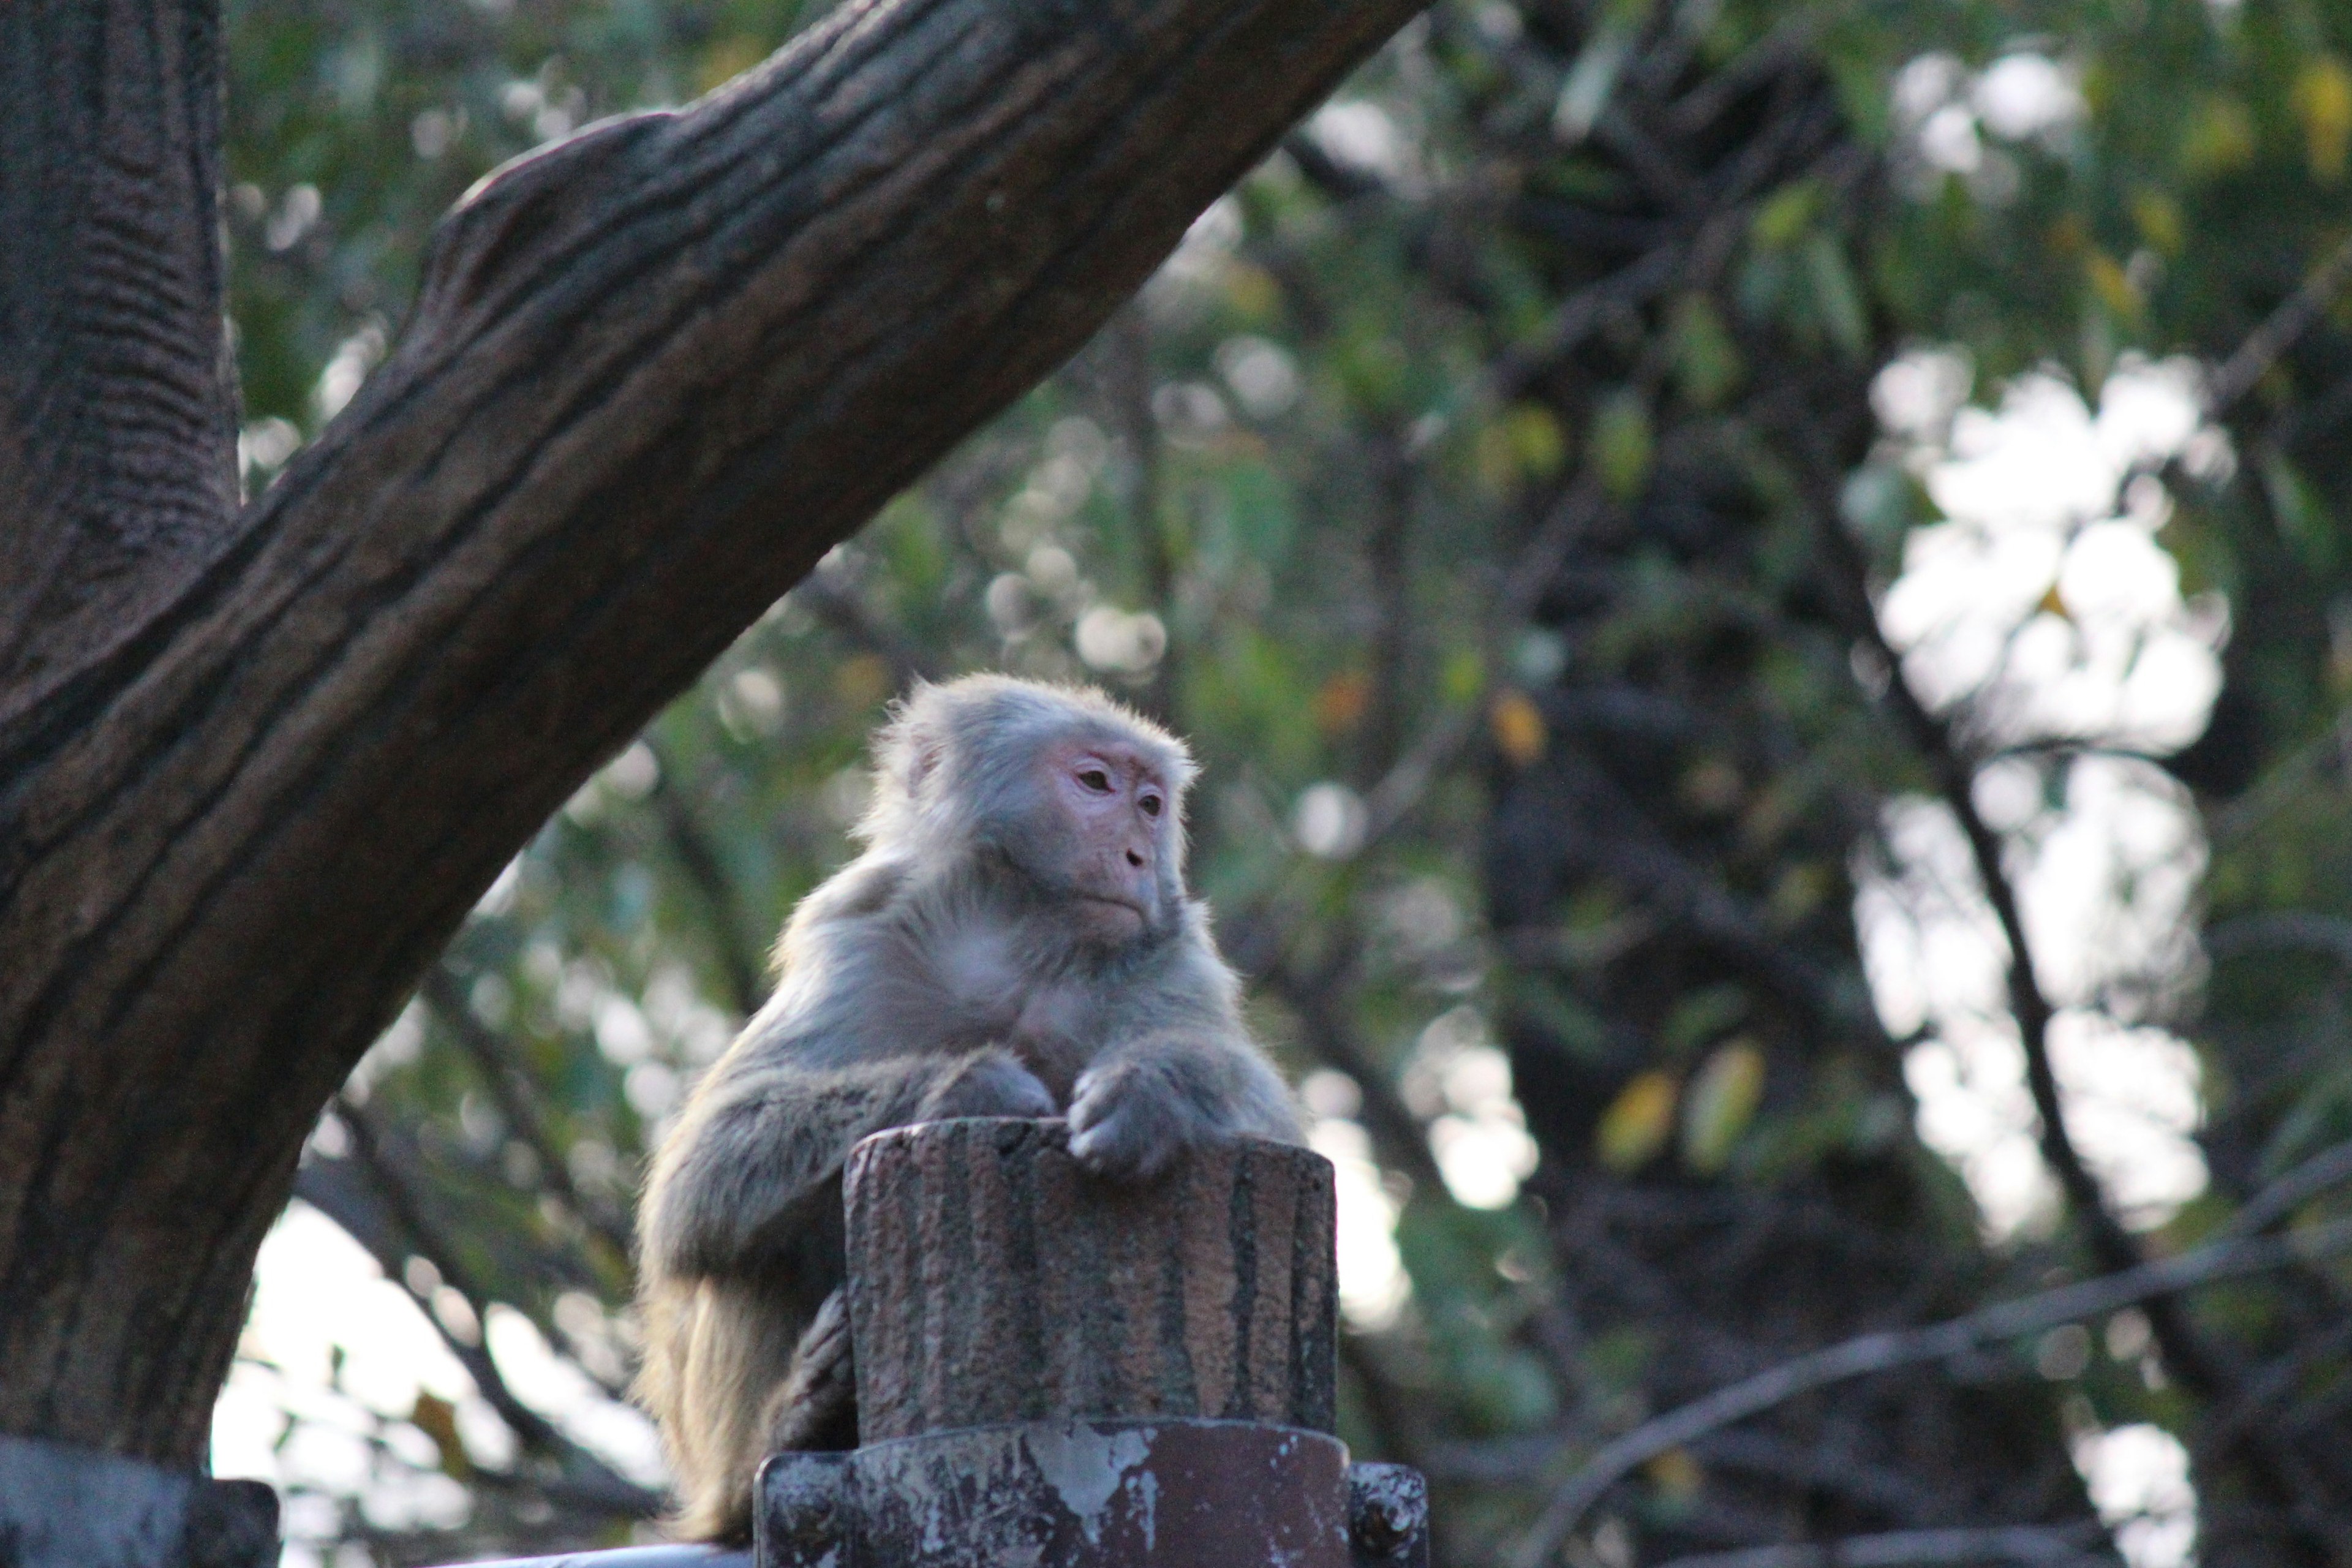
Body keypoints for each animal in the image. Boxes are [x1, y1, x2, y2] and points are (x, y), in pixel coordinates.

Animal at [635, 668, 1298, 1542]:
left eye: (1152, 803)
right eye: (1096, 783)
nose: (1137, 855)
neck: (1015, 948)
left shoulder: (1172, 958)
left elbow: (1273, 1122)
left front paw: (1151, 1096)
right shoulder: (856, 935)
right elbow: (698, 1174)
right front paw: (974, 1085)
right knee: (748, 1242)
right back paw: (775, 1448)